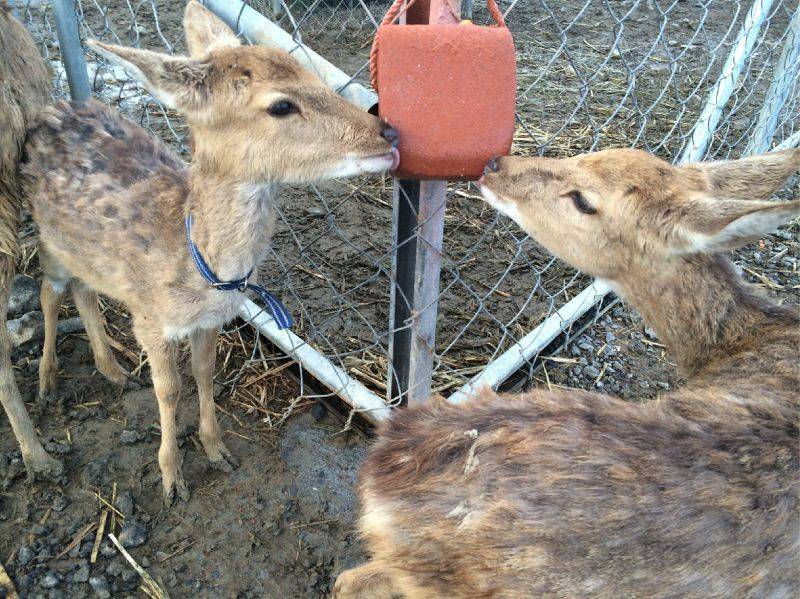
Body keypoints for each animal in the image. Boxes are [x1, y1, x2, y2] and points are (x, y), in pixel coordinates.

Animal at [20, 1, 400, 506]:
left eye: (312, 72)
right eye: (280, 105)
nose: (388, 134)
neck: (203, 272)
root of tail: (51, 108)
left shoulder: (213, 320)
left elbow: (203, 373)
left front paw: (217, 449)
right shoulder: (149, 319)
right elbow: (168, 388)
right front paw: (171, 479)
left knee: (84, 291)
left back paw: (112, 370)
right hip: (47, 238)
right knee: (49, 292)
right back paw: (46, 383)